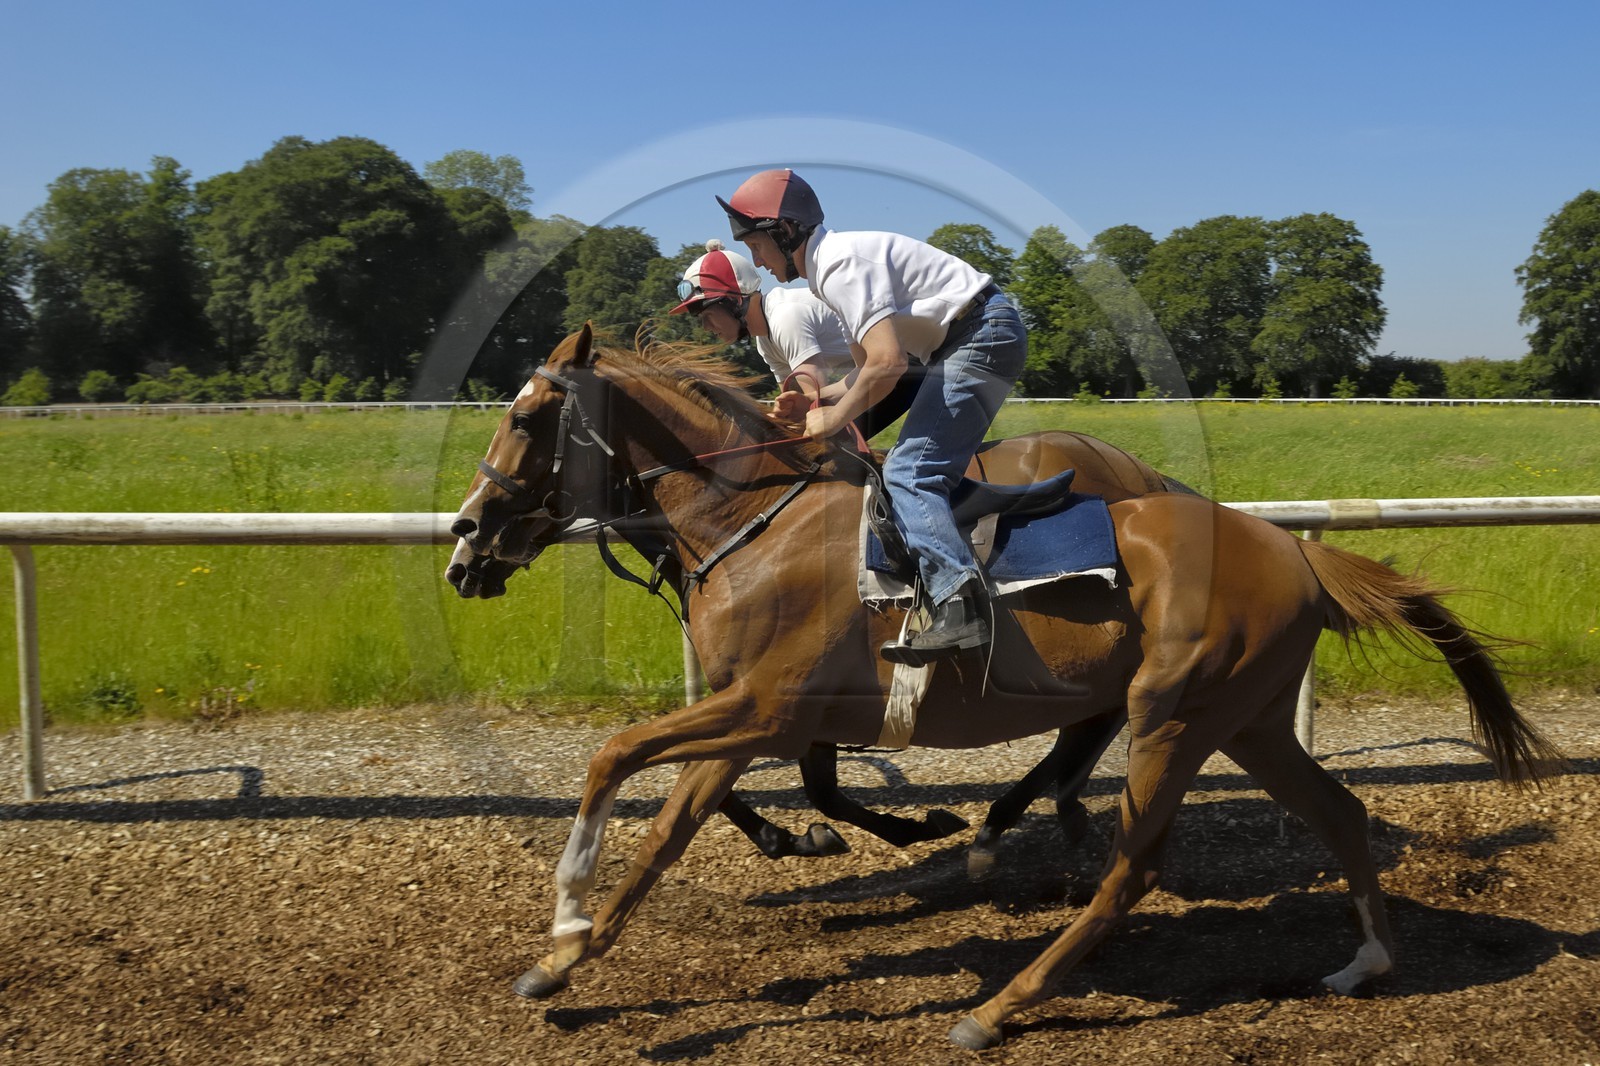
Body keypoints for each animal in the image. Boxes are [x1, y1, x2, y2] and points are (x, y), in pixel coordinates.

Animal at [449, 425, 1187, 866]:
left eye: (525, 433)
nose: (463, 550)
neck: (744, 524)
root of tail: (1150, 476)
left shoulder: (786, 690)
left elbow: (800, 785)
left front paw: (837, 831)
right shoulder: (775, 694)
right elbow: (802, 787)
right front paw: (795, 832)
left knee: (1090, 724)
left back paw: (1016, 818)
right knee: (1086, 727)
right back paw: (1035, 811)